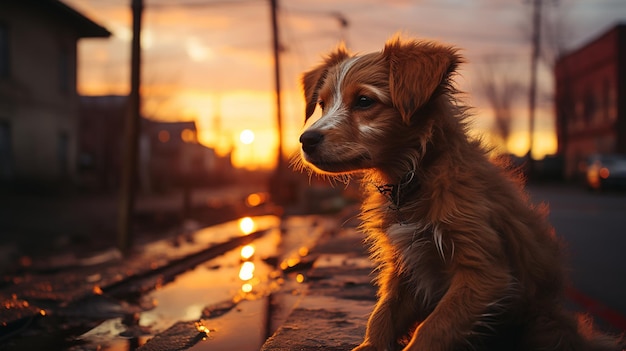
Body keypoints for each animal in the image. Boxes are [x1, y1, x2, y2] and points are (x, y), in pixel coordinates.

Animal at [294, 37, 624, 351]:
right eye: (322, 104)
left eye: (364, 101)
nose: (305, 140)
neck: (416, 178)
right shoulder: (404, 270)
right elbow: (382, 314)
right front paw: (368, 345)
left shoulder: (484, 271)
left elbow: (433, 329)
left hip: (543, 326)